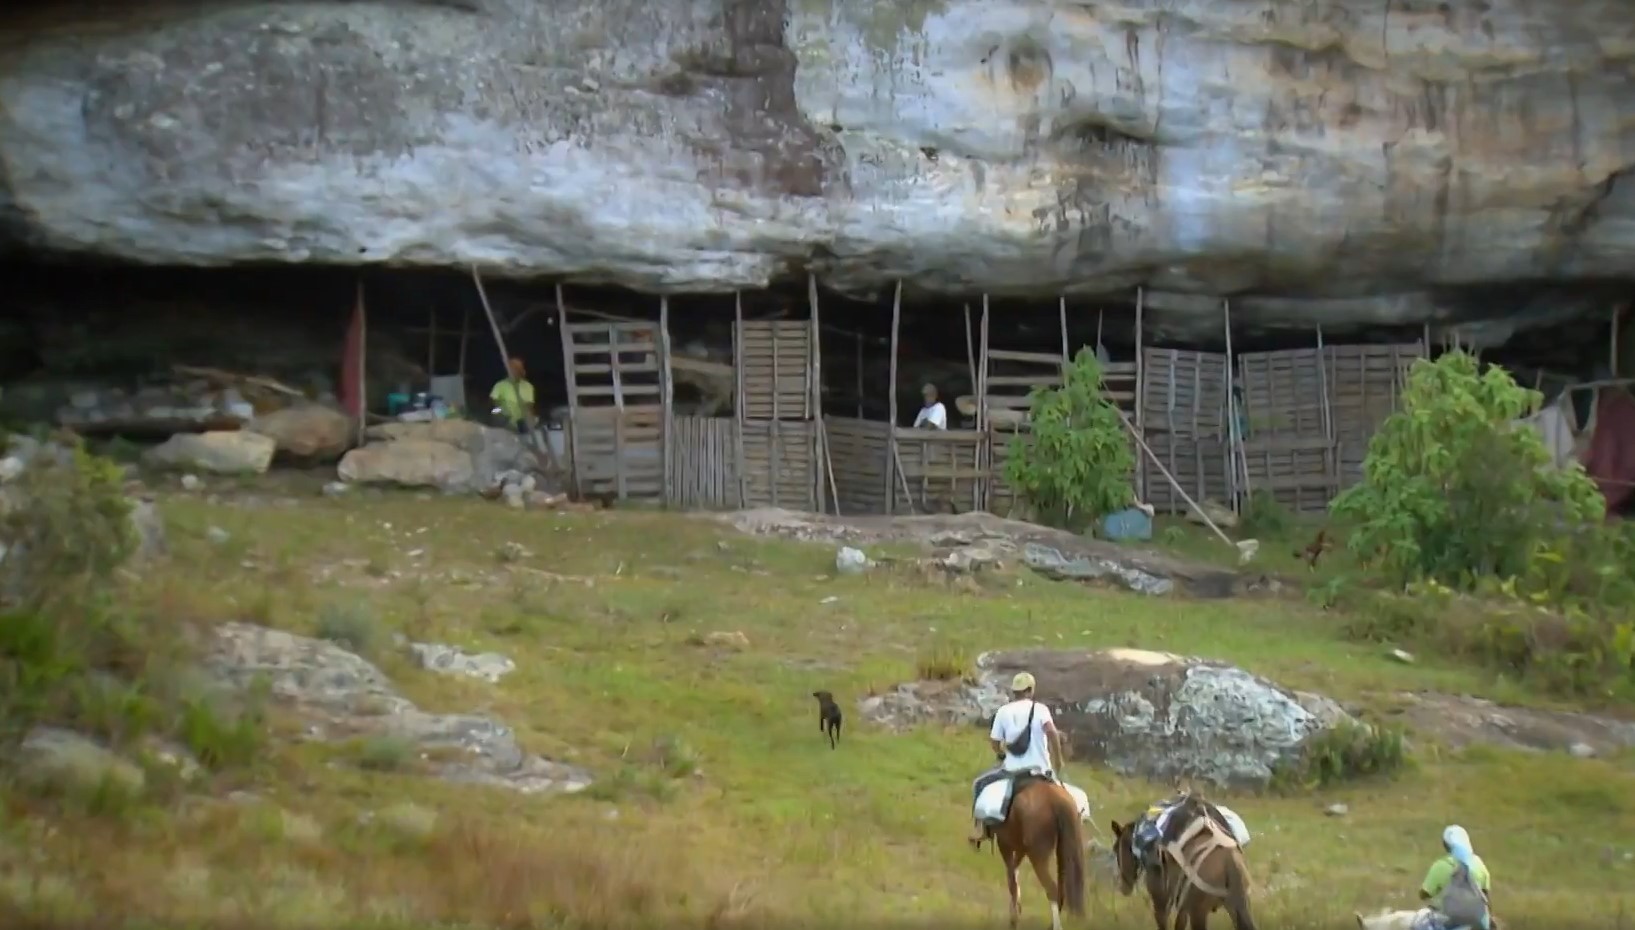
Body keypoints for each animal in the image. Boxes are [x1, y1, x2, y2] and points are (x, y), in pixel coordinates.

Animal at [981, 774, 1085, 928]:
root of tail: (1055, 801)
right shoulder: (1021, 849)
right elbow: (1014, 873)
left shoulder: (1005, 844)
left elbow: (1011, 879)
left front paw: (1014, 919)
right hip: (1063, 852)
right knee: (1061, 891)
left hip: (1038, 856)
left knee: (1051, 889)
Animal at [1118, 794, 1255, 928]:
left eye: (1117, 848)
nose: (1124, 888)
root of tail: (1230, 862)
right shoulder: (1183, 904)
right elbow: (1180, 922)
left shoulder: (1161, 898)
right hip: (1238, 907)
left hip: (1199, 912)